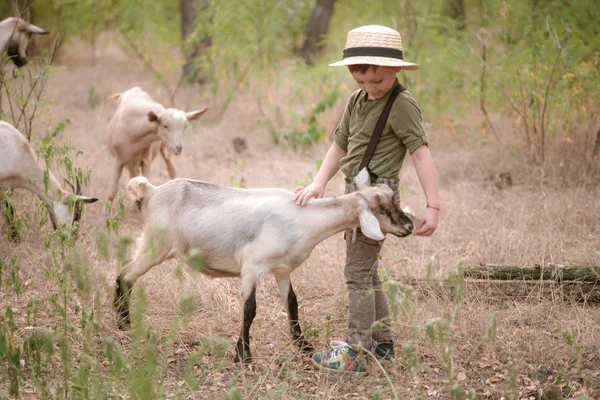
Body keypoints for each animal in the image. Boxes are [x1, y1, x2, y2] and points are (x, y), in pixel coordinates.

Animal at [112, 168, 412, 362]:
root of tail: (151, 192)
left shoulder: (282, 269)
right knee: (125, 275)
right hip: (155, 245)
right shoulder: (252, 267)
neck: (303, 219)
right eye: (382, 208)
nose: (409, 226)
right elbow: (249, 310)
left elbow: (292, 303)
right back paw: (123, 322)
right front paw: (243, 355)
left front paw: (302, 345)